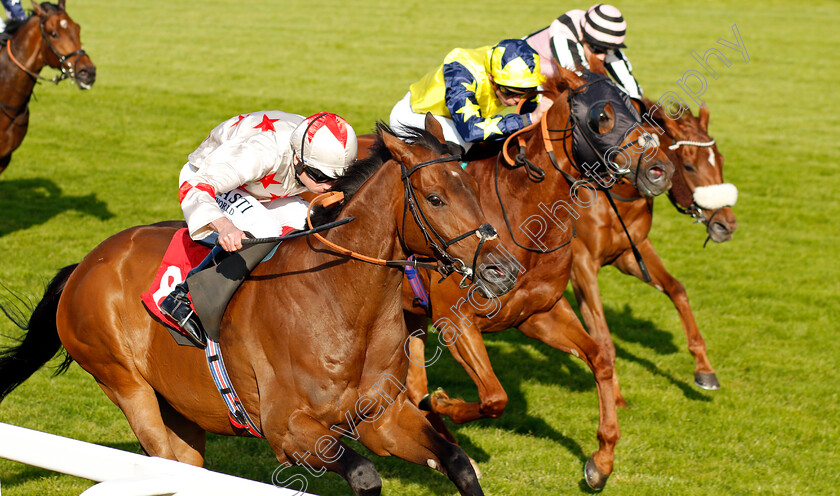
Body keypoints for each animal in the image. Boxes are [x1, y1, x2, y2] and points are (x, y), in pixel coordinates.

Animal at [0, 119, 520, 496]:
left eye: (471, 189)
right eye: (435, 198)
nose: (504, 270)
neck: (341, 301)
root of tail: (85, 264)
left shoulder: (383, 418)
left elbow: (458, 463)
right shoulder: (290, 431)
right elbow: (365, 476)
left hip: (182, 411)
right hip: (126, 386)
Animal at [380, 65, 676, 488]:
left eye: (636, 108)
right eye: (601, 117)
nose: (660, 171)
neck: (526, 220)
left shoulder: (538, 313)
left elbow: (600, 357)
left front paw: (601, 460)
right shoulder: (455, 318)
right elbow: (494, 397)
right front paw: (444, 401)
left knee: (413, 384)